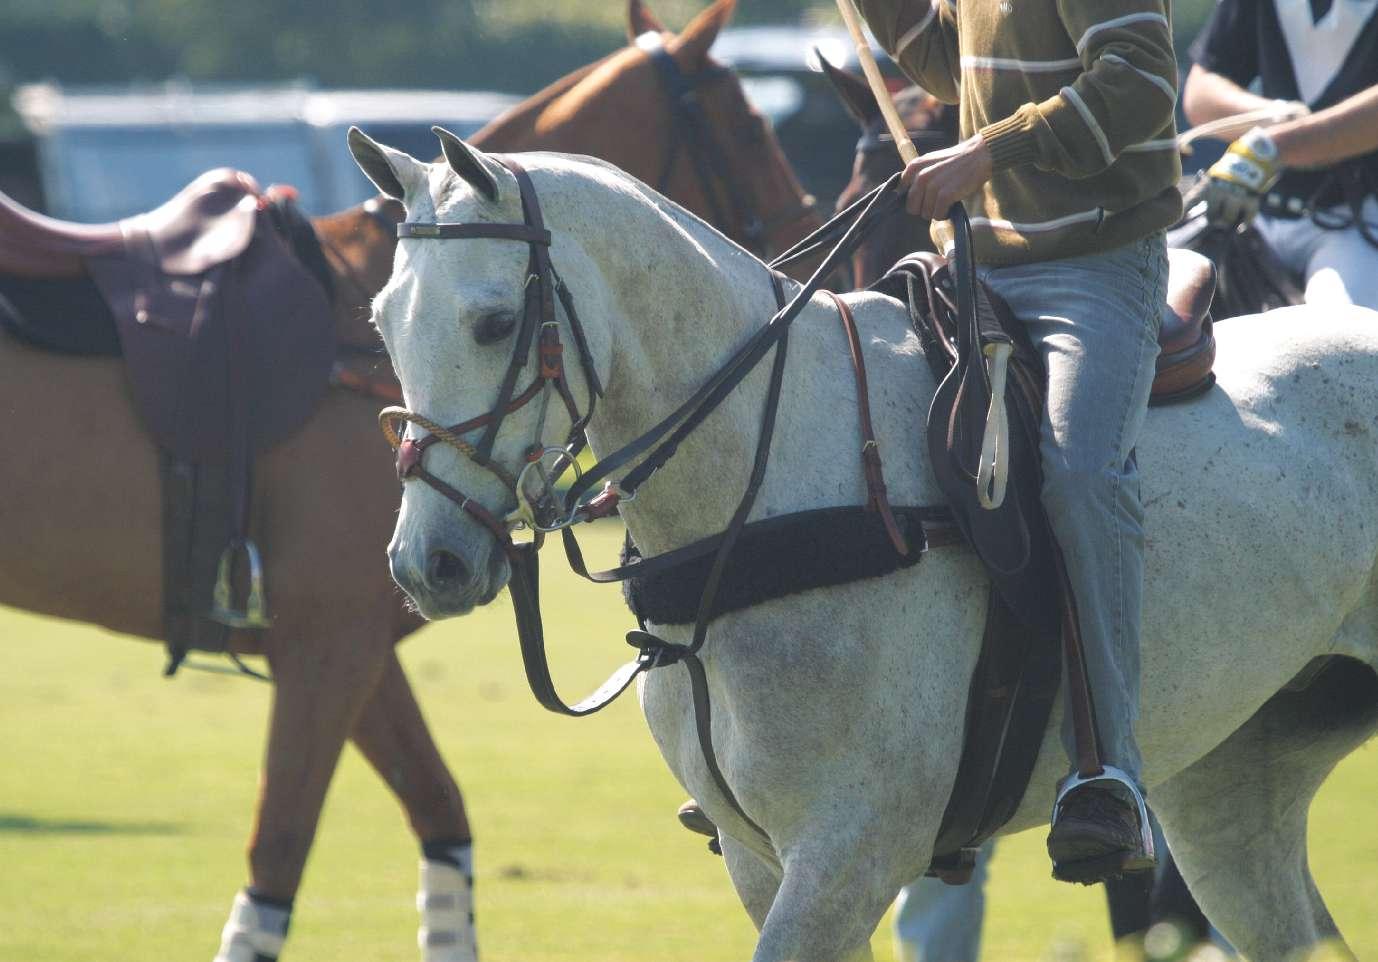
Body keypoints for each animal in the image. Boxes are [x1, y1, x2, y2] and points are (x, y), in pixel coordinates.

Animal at [0, 2, 819, 958]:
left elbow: (439, 814)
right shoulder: (326, 644)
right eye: (752, 127)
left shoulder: (350, 647)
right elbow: (278, 854)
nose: (817, 252)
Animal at [351, 130, 1378, 962]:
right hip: (1230, 792)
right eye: (380, 321)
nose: (426, 564)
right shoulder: (762, 859)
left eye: (493, 321)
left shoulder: (851, 851)